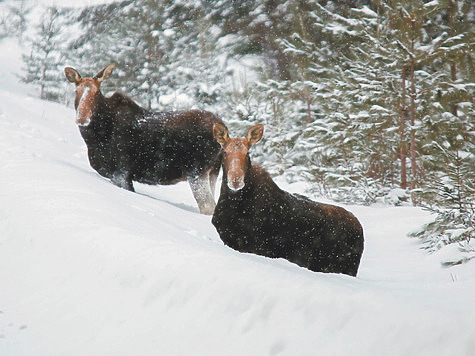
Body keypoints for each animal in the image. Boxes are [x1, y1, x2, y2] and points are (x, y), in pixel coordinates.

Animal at [64, 63, 225, 214]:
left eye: (97, 92)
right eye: (76, 91)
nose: (82, 118)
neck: (95, 137)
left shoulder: (121, 172)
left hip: (196, 172)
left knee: (208, 208)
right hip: (212, 173)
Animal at [212, 124, 364, 276]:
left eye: (247, 153)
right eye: (225, 152)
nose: (236, 180)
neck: (234, 206)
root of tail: (360, 229)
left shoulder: (259, 248)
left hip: (344, 267)